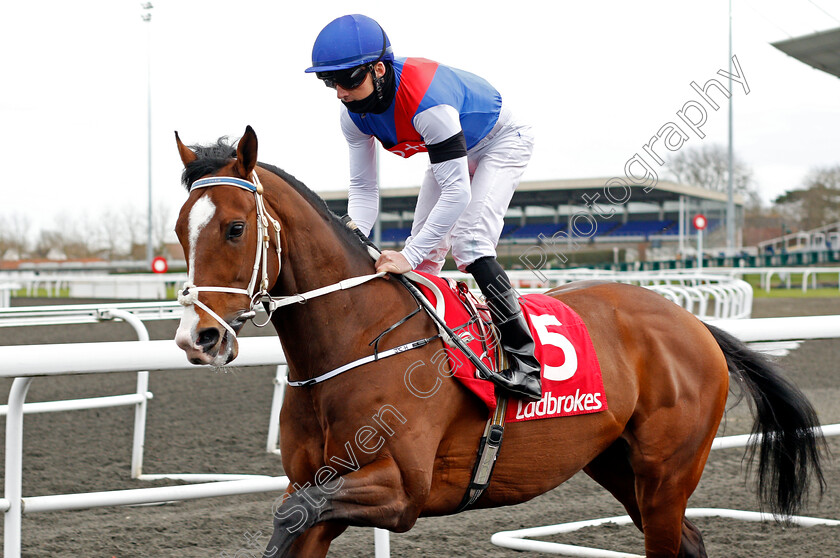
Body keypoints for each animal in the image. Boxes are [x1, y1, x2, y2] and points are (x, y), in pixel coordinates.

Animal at [174, 127, 824, 558]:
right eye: (181, 229)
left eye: (235, 228)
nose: (196, 337)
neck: (356, 340)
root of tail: (693, 325)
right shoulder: (318, 486)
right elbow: (293, 518)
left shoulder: (402, 490)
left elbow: (290, 514)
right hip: (618, 464)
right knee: (689, 540)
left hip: (668, 473)